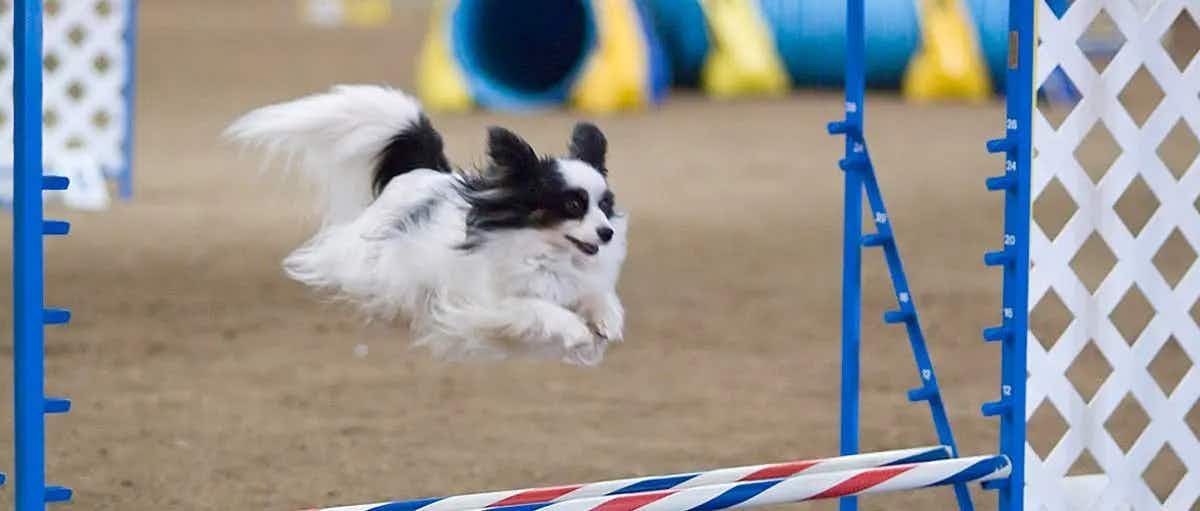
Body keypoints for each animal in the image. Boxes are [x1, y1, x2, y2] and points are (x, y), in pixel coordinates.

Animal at [228, 86, 633, 367]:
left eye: (605, 206)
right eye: (573, 205)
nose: (606, 233)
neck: (548, 252)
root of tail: (421, 170)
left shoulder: (580, 282)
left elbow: (599, 296)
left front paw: (607, 323)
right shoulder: (488, 304)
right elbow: (541, 310)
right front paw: (577, 332)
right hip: (372, 261)